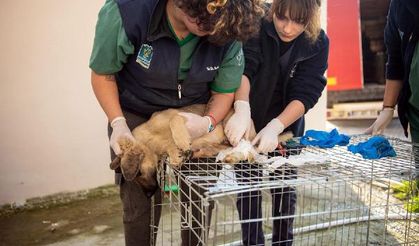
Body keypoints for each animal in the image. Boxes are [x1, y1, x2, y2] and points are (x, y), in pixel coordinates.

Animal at [108, 104, 292, 192]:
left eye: (139, 173)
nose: (150, 194)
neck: (150, 141)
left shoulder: (179, 117)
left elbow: (174, 121)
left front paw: (182, 141)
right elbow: (172, 150)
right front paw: (178, 155)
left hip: (232, 125)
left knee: (248, 149)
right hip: (216, 146)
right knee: (233, 151)